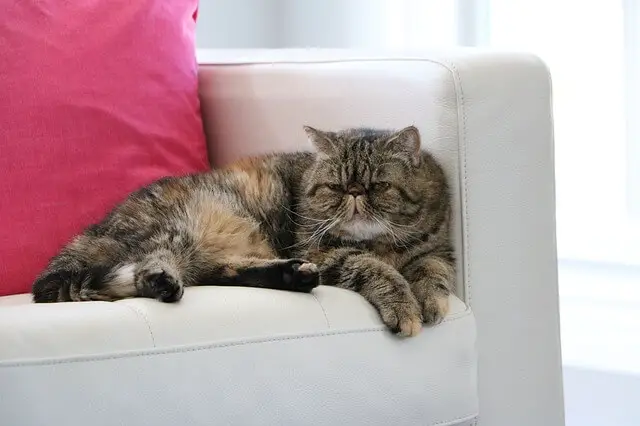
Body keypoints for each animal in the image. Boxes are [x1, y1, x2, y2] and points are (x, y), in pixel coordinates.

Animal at [33, 125, 456, 338]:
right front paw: (404, 304)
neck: (383, 241)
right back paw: (163, 281)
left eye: (378, 186)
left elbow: (433, 272)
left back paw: (292, 275)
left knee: (219, 271)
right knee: (150, 266)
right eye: (336, 187)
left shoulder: (437, 249)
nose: (354, 193)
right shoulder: (322, 249)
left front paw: (430, 300)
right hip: (179, 229)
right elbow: (372, 267)